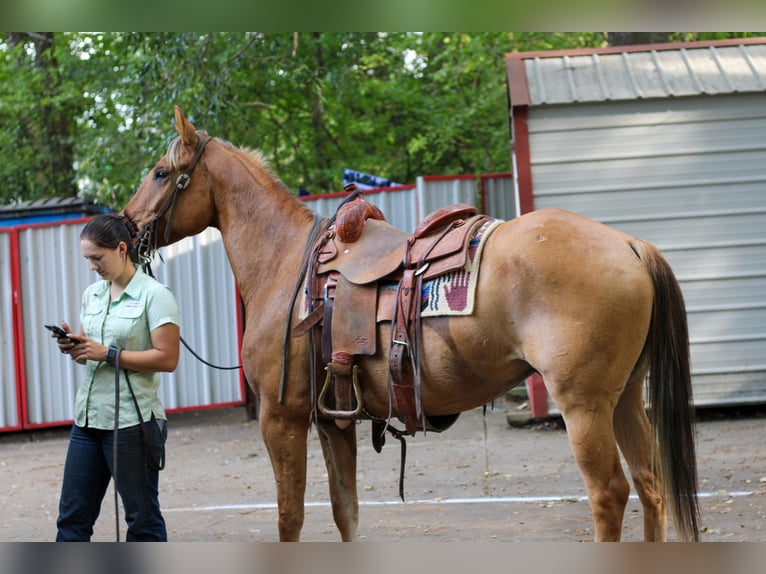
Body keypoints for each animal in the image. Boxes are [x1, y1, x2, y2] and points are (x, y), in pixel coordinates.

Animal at [124, 108, 704, 544]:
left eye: (159, 172)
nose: (124, 226)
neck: (288, 263)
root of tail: (629, 243)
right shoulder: (333, 419)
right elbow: (345, 512)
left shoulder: (280, 419)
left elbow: (290, 517)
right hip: (625, 397)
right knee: (650, 486)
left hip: (584, 405)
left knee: (610, 495)